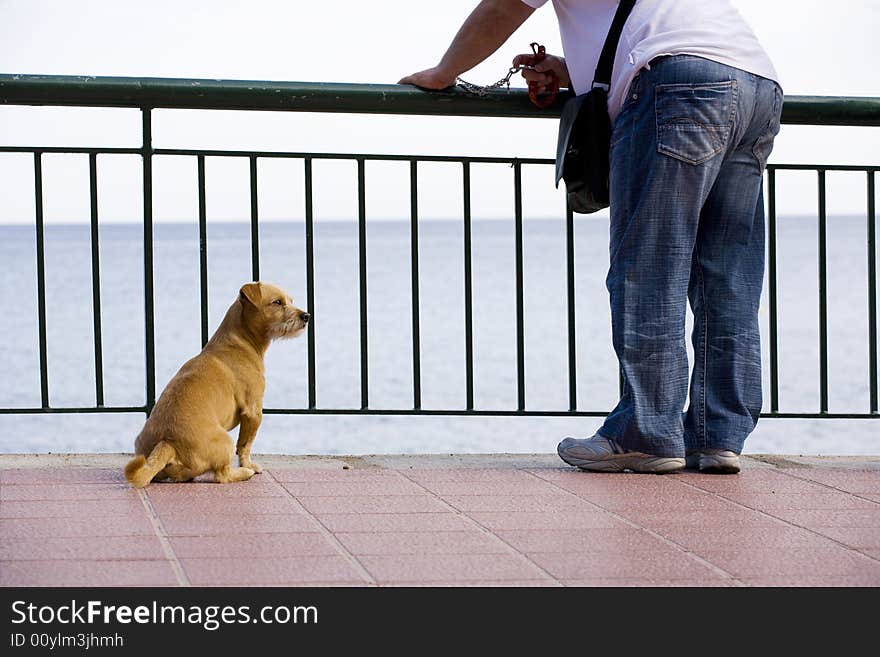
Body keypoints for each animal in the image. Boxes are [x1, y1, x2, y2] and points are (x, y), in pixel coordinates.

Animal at [124, 280, 310, 484]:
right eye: (277, 302)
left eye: (291, 301)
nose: (306, 316)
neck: (240, 342)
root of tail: (168, 443)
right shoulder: (253, 411)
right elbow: (245, 444)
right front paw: (249, 465)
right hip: (225, 441)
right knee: (222, 475)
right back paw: (243, 472)